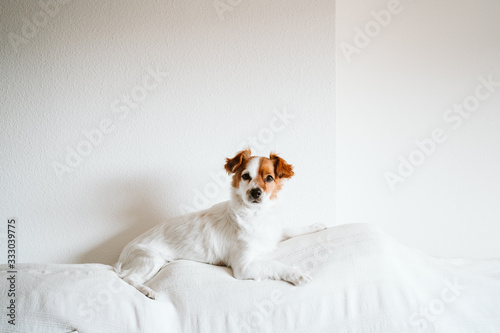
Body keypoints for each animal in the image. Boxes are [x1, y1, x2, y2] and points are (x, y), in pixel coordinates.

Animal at [116, 148, 328, 298]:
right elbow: (275, 264)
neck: (256, 215)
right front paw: (297, 274)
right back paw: (148, 291)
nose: (255, 192)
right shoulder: (244, 267)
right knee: (127, 278)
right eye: (246, 176)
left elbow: (290, 229)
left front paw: (315, 226)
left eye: (269, 178)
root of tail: (123, 253)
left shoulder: (273, 232)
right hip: (151, 259)